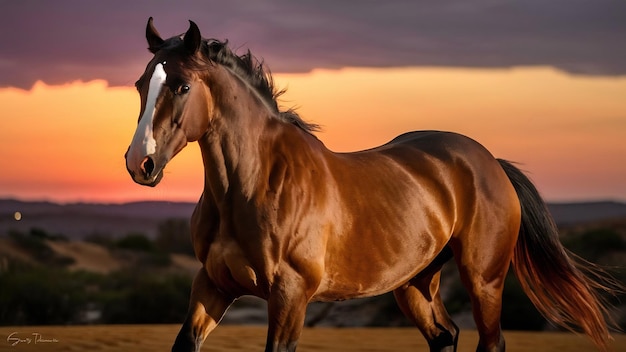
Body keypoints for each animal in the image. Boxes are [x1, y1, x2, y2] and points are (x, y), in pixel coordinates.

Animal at [124, 18, 616, 352]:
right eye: (141, 83)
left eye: (183, 86)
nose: (139, 163)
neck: (250, 187)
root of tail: (489, 162)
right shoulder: (213, 284)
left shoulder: (290, 296)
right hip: (415, 284)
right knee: (445, 336)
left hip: (485, 282)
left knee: (489, 342)